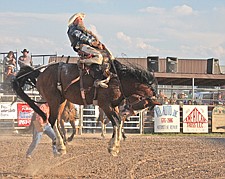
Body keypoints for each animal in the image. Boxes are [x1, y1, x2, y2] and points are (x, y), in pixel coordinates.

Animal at [11, 59, 158, 156]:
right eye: (145, 103)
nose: (132, 113)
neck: (118, 80)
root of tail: (41, 74)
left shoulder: (114, 106)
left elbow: (119, 122)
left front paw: (114, 146)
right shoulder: (106, 105)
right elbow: (116, 122)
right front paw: (113, 148)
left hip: (61, 101)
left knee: (56, 121)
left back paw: (60, 144)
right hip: (53, 100)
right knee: (52, 122)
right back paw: (60, 147)